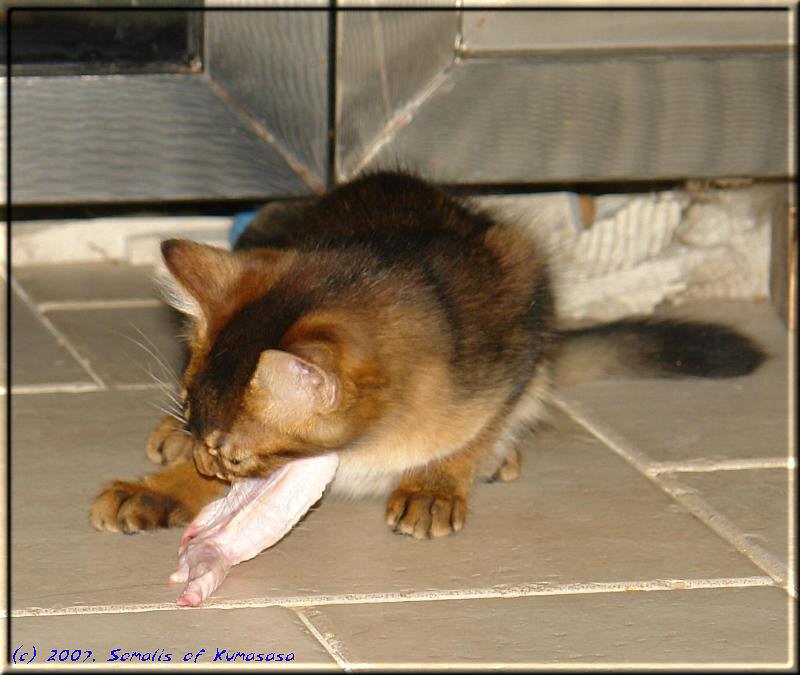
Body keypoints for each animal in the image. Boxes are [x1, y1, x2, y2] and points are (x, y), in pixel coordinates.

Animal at [90, 172, 764, 540]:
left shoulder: (515, 335)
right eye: (199, 422)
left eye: (233, 455)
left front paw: (437, 484)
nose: (205, 460)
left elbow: (477, 428)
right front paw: (160, 488)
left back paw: (500, 457)